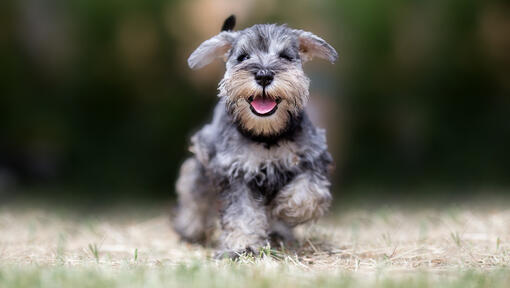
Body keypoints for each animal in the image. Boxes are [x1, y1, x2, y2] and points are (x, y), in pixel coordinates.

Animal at [173, 15, 336, 258]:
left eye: (285, 56)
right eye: (243, 57)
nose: (264, 75)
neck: (266, 136)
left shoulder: (312, 158)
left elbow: (309, 192)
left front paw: (286, 209)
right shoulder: (236, 172)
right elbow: (243, 214)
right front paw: (243, 245)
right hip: (201, 167)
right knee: (194, 193)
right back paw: (189, 228)